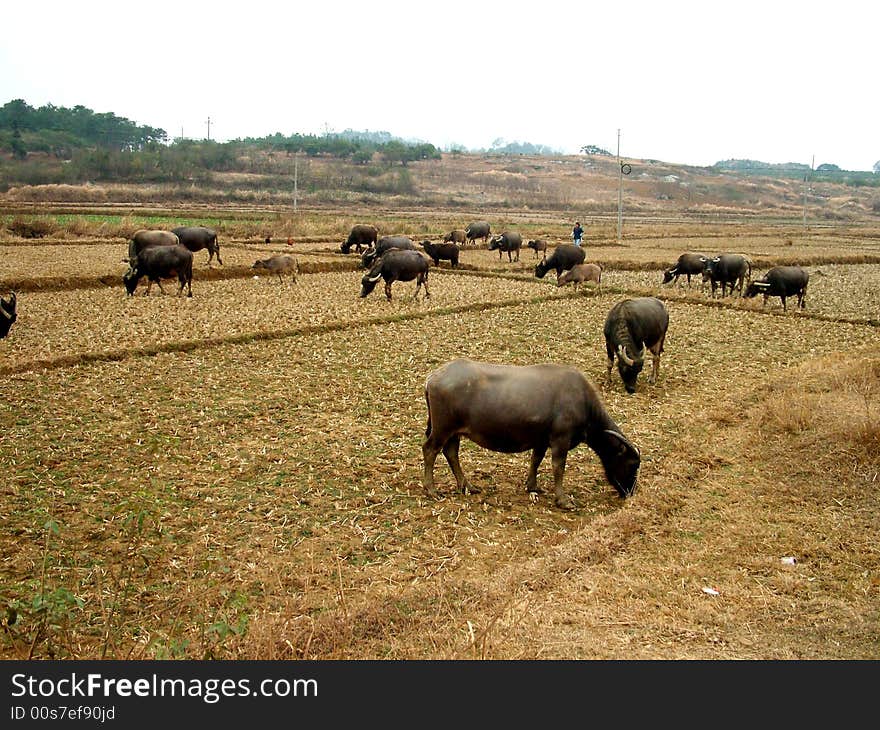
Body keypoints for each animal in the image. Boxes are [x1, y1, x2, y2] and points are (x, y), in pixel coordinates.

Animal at [422, 356, 640, 506]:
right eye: (632, 464)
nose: (630, 492)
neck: (581, 401)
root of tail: (433, 377)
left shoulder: (542, 440)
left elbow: (536, 459)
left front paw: (532, 485)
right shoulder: (561, 440)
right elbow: (558, 467)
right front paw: (563, 500)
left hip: (453, 431)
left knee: (451, 452)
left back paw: (467, 486)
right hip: (442, 428)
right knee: (430, 450)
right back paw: (431, 490)